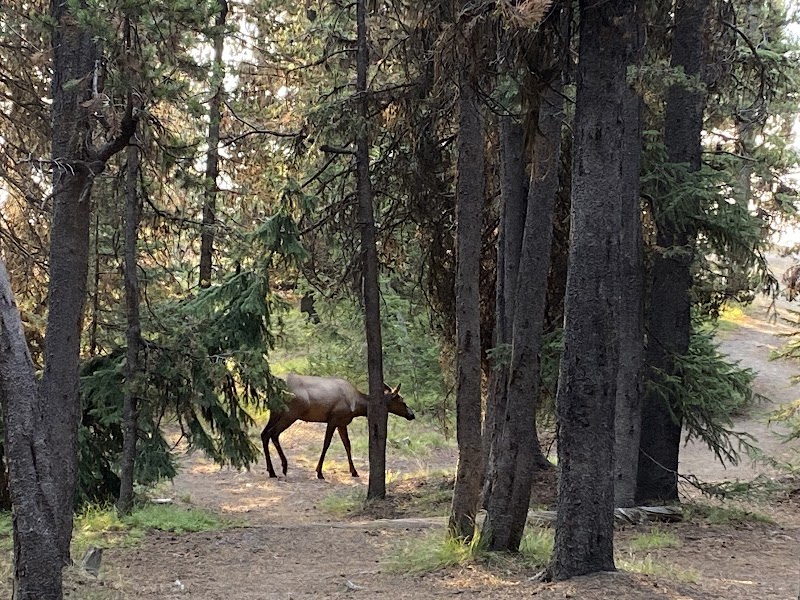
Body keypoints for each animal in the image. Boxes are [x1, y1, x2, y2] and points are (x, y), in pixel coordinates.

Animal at [262, 372, 415, 479]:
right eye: (402, 401)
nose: (412, 414)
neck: (358, 406)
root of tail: (272, 388)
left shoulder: (342, 423)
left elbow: (347, 445)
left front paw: (354, 471)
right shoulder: (333, 418)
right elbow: (326, 444)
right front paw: (319, 472)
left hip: (275, 412)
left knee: (264, 434)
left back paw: (271, 470)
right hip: (291, 413)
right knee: (273, 433)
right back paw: (283, 467)